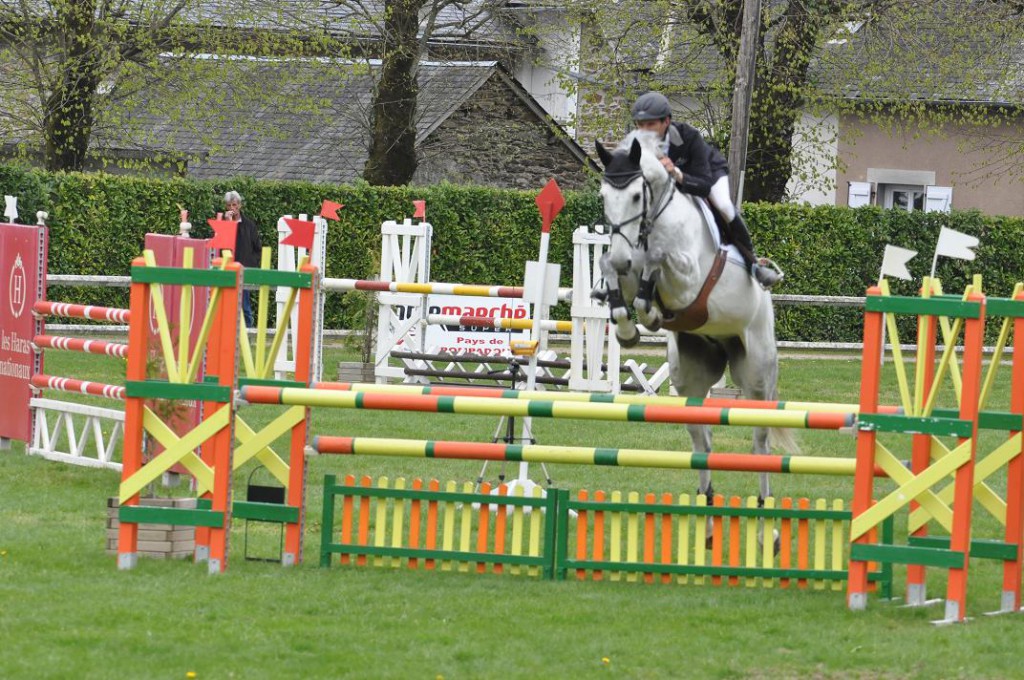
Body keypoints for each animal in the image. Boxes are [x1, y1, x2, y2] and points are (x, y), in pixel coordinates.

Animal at [593, 133, 798, 510]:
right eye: (603, 196)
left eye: (635, 195)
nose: (623, 256)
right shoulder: (625, 266)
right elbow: (609, 266)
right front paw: (627, 326)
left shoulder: (688, 280)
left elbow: (657, 258)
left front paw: (649, 311)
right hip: (689, 377)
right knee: (702, 439)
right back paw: (706, 498)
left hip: (757, 375)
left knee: (761, 441)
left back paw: (765, 506)